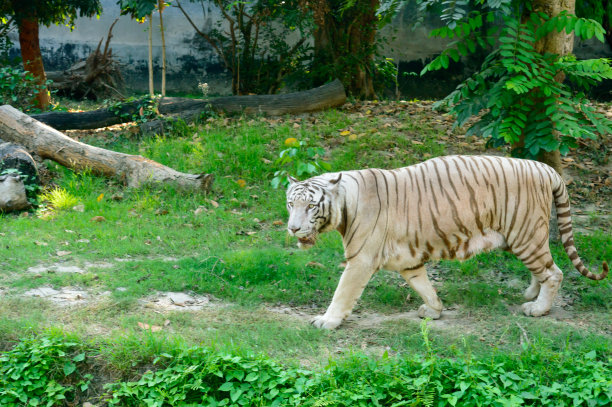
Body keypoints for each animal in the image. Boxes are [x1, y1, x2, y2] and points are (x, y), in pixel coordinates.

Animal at [286, 155, 608, 330]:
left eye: (311, 206)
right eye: (291, 204)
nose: (293, 228)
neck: (345, 202)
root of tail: (546, 168)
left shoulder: (360, 260)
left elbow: (342, 293)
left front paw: (327, 321)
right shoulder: (409, 262)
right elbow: (423, 286)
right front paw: (434, 310)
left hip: (525, 234)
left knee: (554, 272)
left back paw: (538, 309)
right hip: (521, 238)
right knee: (543, 269)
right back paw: (531, 295)